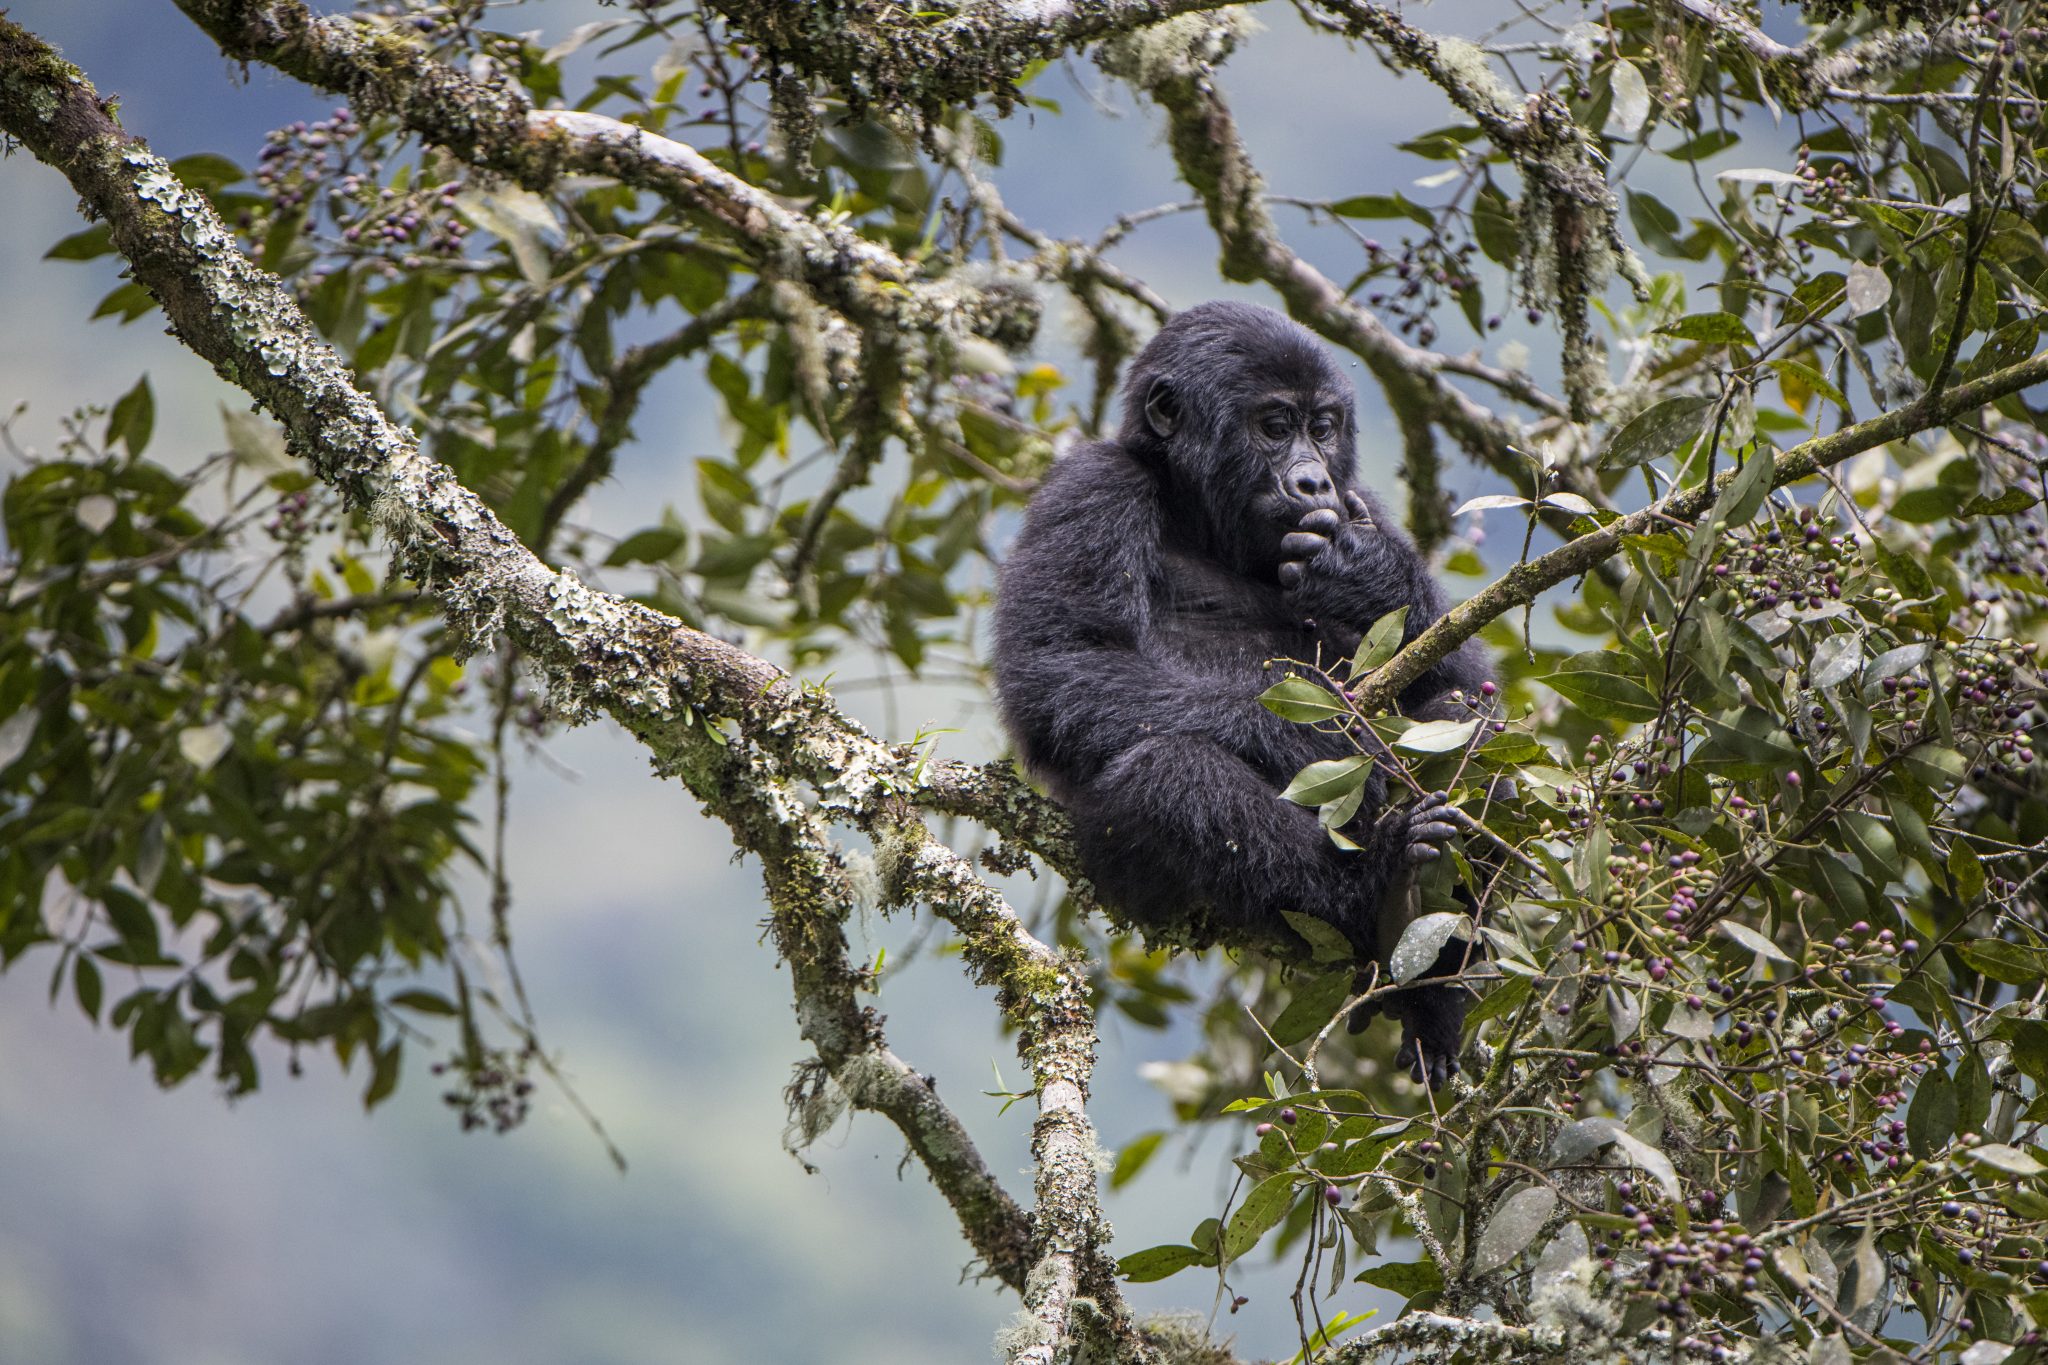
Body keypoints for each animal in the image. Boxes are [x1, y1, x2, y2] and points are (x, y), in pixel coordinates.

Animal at [987, 298, 1490, 1088]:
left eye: (1323, 427)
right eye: (1275, 426)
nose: (1312, 481)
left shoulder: (1363, 503)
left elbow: (1457, 674)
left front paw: (1368, 573)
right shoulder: (1092, 486)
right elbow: (1064, 661)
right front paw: (1311, 739)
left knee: (1462, 722)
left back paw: (1434, 985)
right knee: (1172, 778)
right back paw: (1382, 886)